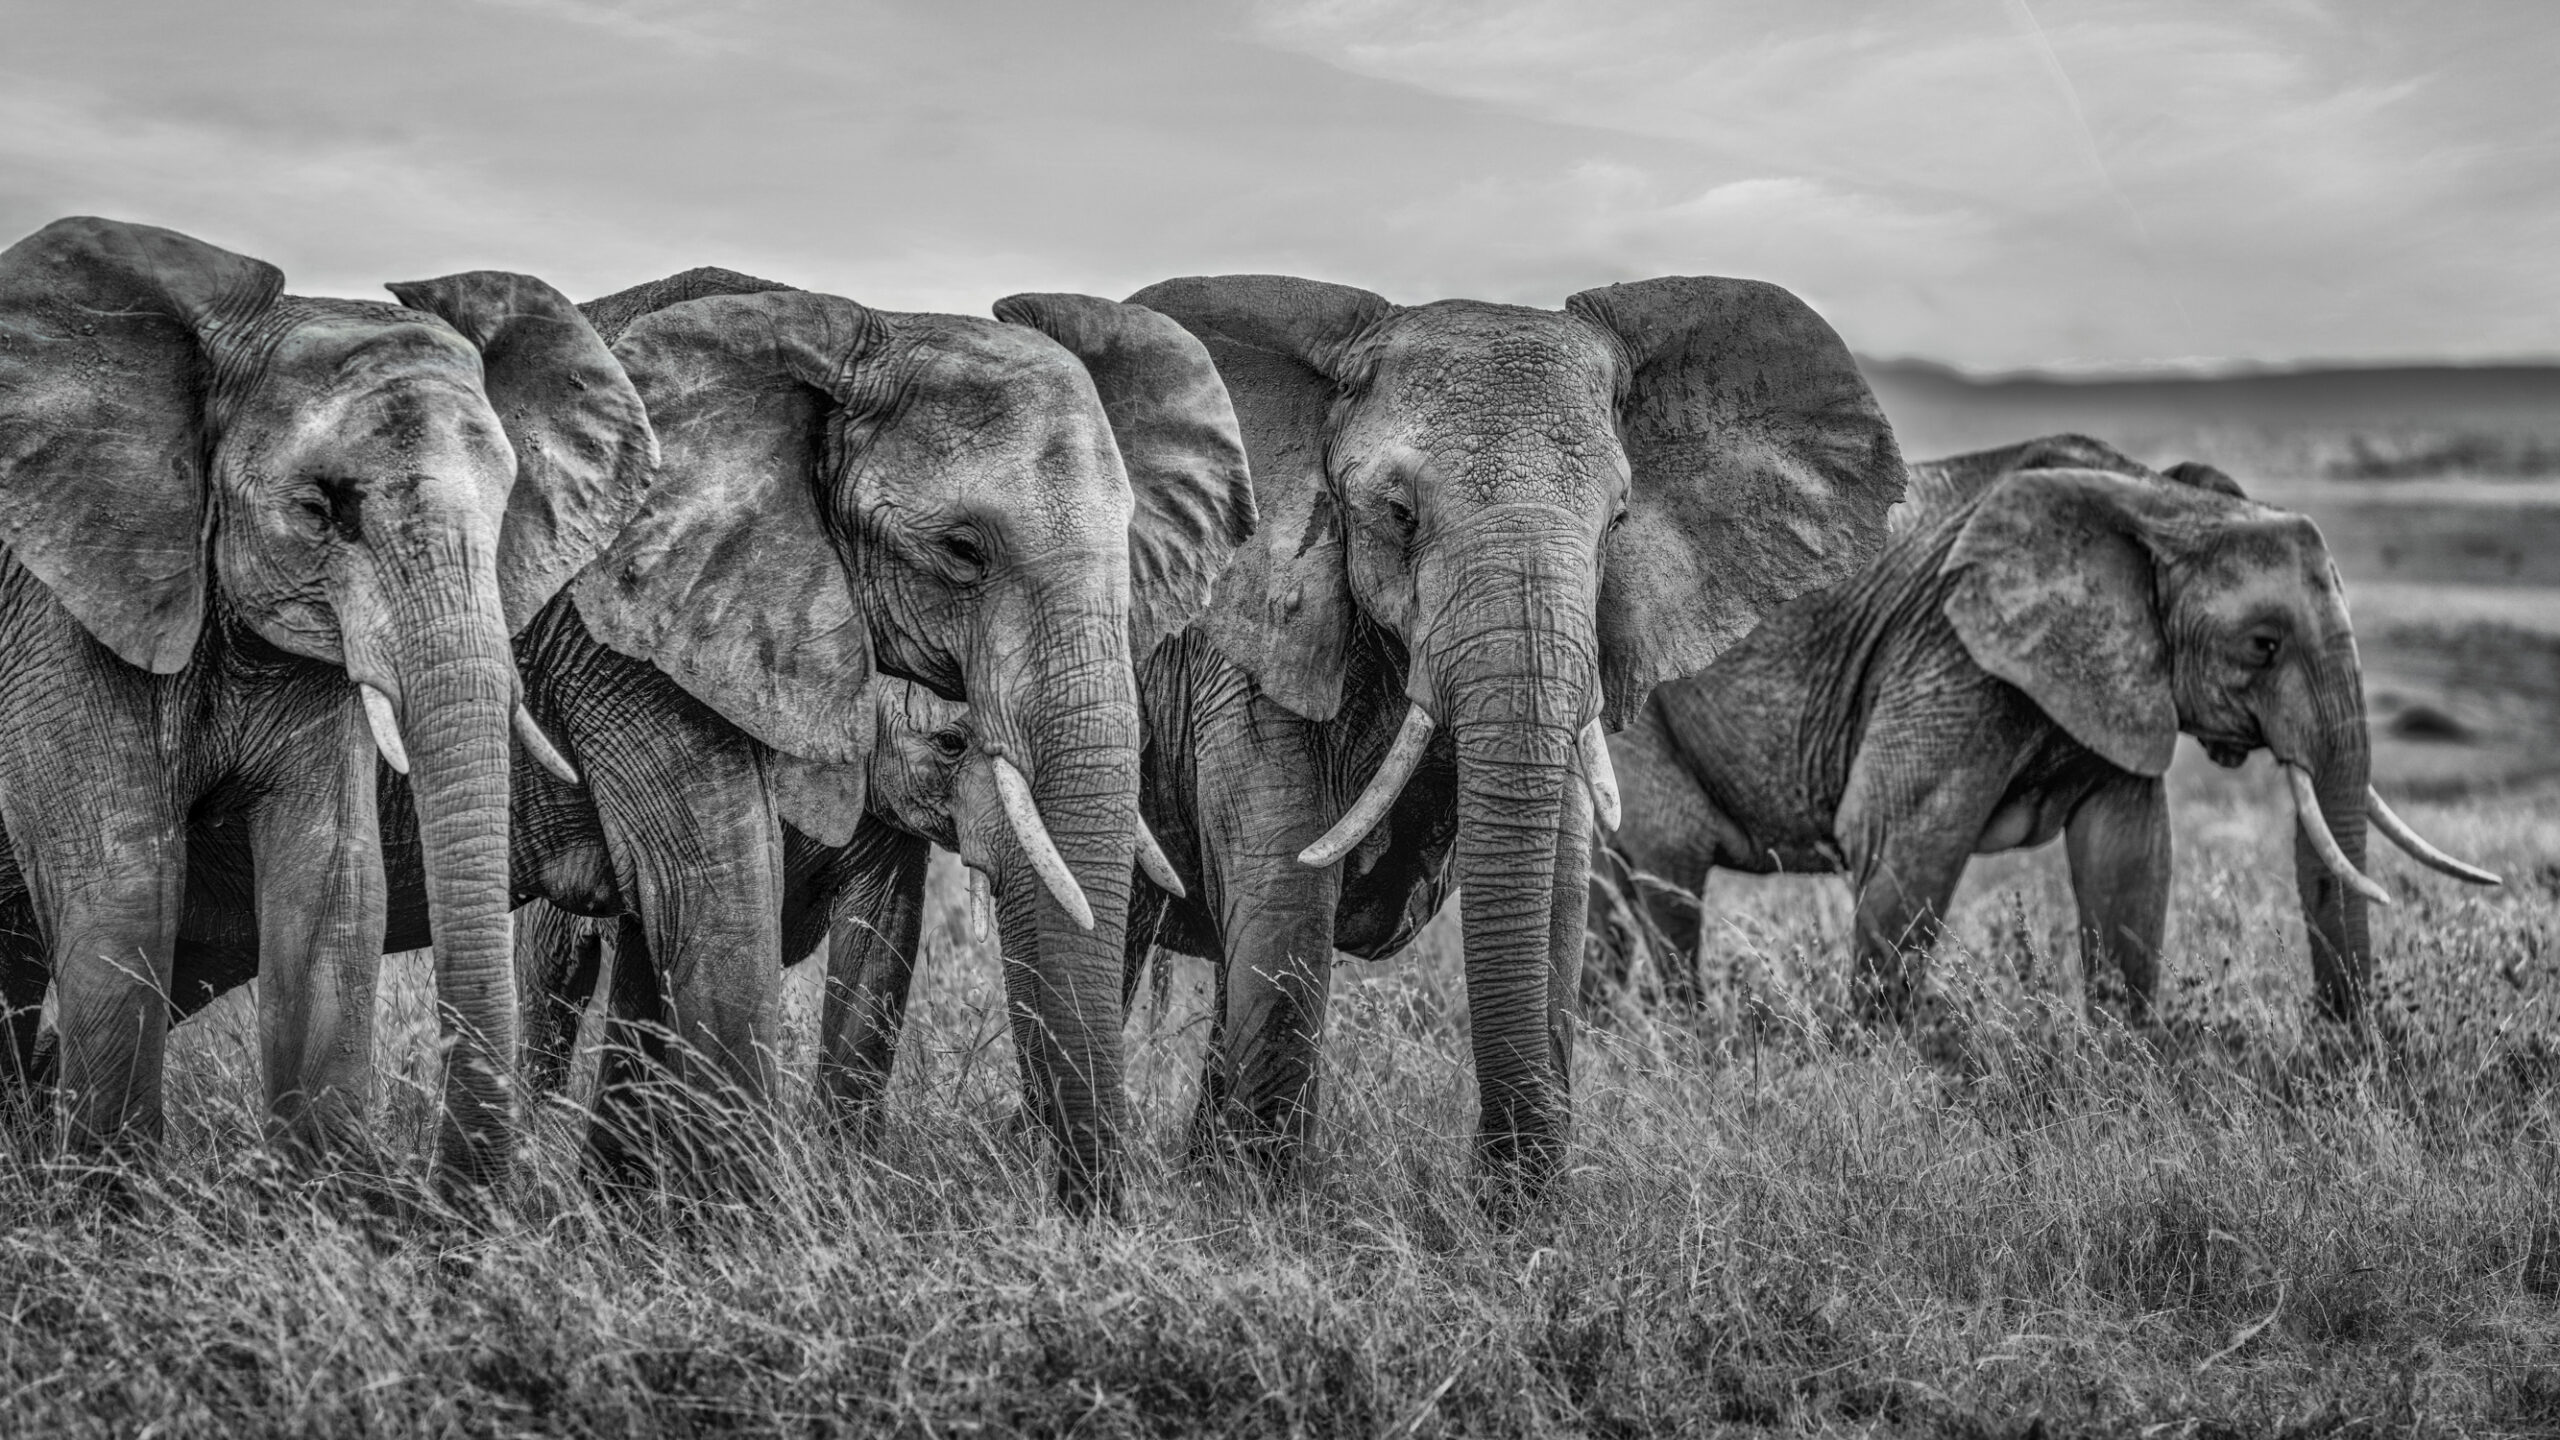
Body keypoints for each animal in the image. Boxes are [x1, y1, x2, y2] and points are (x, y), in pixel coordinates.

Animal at [0, 217, 655, 1185]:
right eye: (321, 509)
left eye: (508, 506)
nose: (463, 1190)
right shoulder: (60, 595)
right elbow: (125, 884)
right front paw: (113, 1196)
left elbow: (328, 881)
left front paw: (326, 1193)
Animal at [1020, 273, 1909, 1205]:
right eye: (1399, 514)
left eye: (1619, 520)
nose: (1500, 1195)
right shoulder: (1252, 641)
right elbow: (1284, 892)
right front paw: (1257, 1210)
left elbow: (1557, 893)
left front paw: (1524, 1217)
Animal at [1586, 434, 2501, 1024]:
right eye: (2263, 646)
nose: (2343, 1051)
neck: (2161, 503)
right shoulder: (1953, 650)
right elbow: (1899, 841)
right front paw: (1872, 1072)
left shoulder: (2119, 679)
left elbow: (2129, 858)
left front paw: (2123, 1073)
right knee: (1669, 874)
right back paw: (1687, 1042)